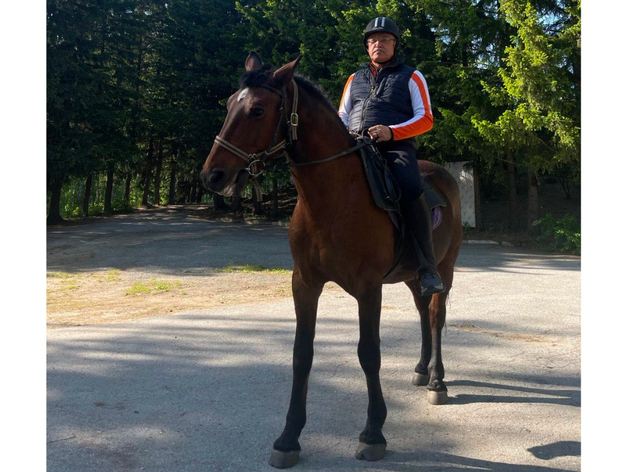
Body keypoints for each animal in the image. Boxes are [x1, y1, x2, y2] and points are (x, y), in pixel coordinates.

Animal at [201, 52, 462, 468]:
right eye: (229, 105)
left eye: (257, 110)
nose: (213, 175)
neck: (333, 197)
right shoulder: (305, 284)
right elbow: (301, 355)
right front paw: (288, 438)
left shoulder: (368, 289)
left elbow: (369, 354)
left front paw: (373, 433)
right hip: (412, 274)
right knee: (424, 312)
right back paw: (422, 370)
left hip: (444, 268)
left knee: (436, 315)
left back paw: (437, 380)